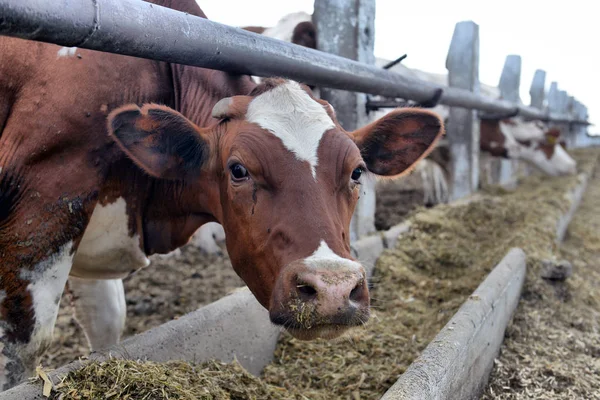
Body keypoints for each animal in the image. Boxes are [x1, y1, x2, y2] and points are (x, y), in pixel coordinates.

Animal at [0, 0, 446, 390]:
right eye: (238, 170)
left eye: (356, 171)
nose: (333, 291)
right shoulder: (43, 209)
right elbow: (21, 352)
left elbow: (106, 323)